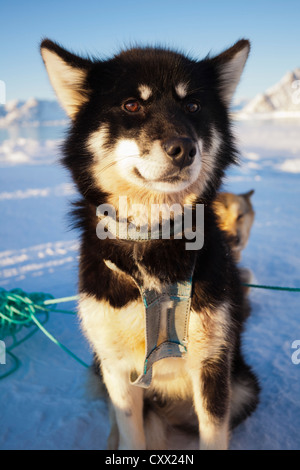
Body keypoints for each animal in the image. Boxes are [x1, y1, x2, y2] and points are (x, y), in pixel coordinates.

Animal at [40, 38, 260, 450]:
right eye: (132, 105)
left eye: (192, 106)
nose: (184, 148)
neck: (154, 239)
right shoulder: (116, 369)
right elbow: (130, 432)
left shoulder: (213, 362)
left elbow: (213, 432)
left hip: (243, 388)